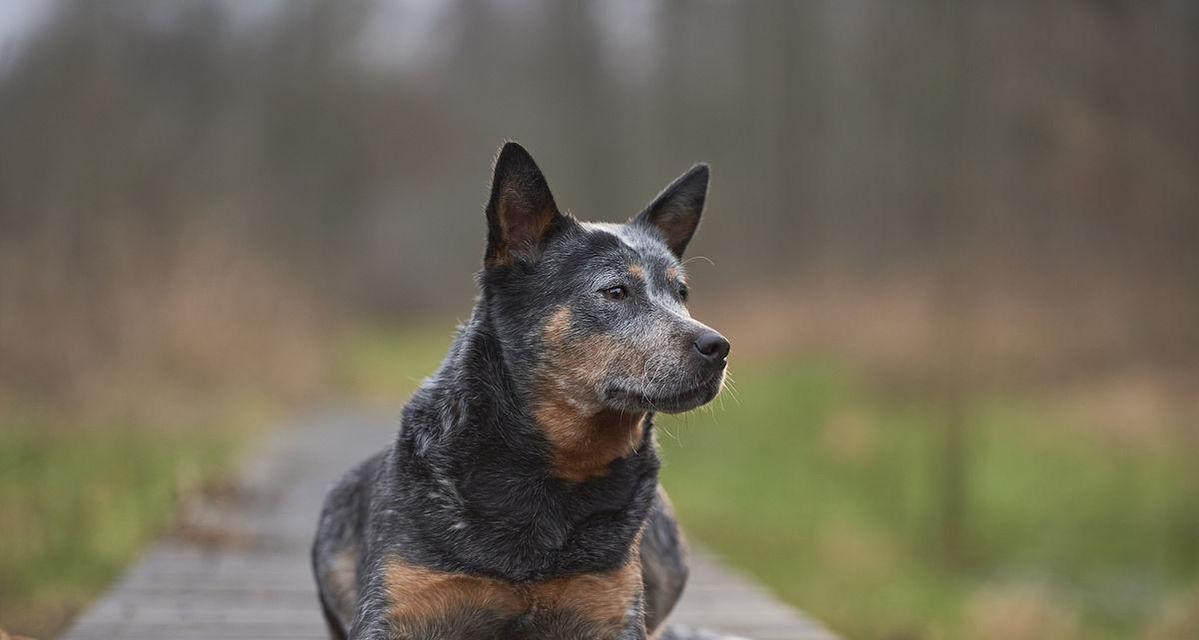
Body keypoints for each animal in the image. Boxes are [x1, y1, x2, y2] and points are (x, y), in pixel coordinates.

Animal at [311, 144, 728, 640]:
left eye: (681, 293)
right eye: (615, 291)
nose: (718, 347)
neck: (549, 474)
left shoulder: (612, 607)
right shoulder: (395, 607)